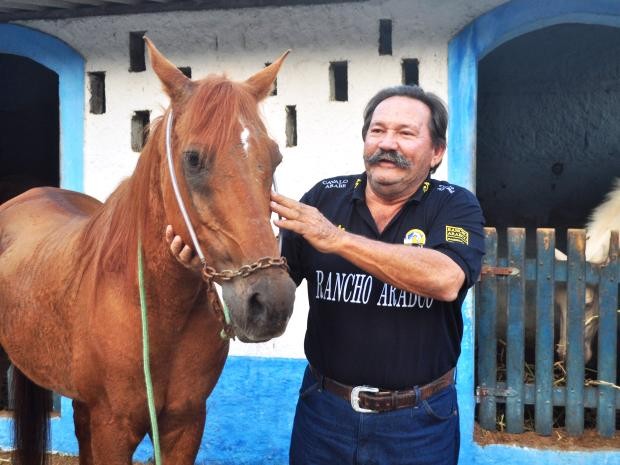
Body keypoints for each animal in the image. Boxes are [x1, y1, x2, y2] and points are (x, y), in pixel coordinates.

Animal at [0, 39, 298, 464]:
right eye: (193, 159)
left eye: (275, 157)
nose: (271, 302)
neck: (155, 309)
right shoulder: (114, 427)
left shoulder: (184, 424)